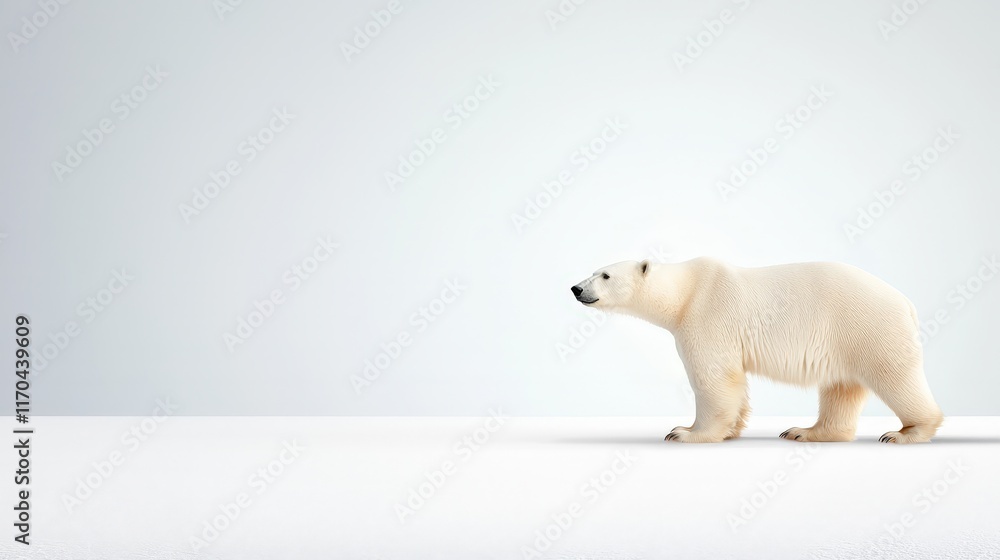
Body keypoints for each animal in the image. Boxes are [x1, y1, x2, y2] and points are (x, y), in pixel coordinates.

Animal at [570, 257, 943, 444]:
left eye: (605, 275)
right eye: (592, 271)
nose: (576, 288)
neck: (686, 291)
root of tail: (905, 301)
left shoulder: (707, 314)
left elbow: (714, 377)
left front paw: (686, 432)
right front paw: (731, 430)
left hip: (867, 327)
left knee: (895, 377)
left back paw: (905, 433)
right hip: (846, 341)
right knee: (841, 388)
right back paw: (805, 431)